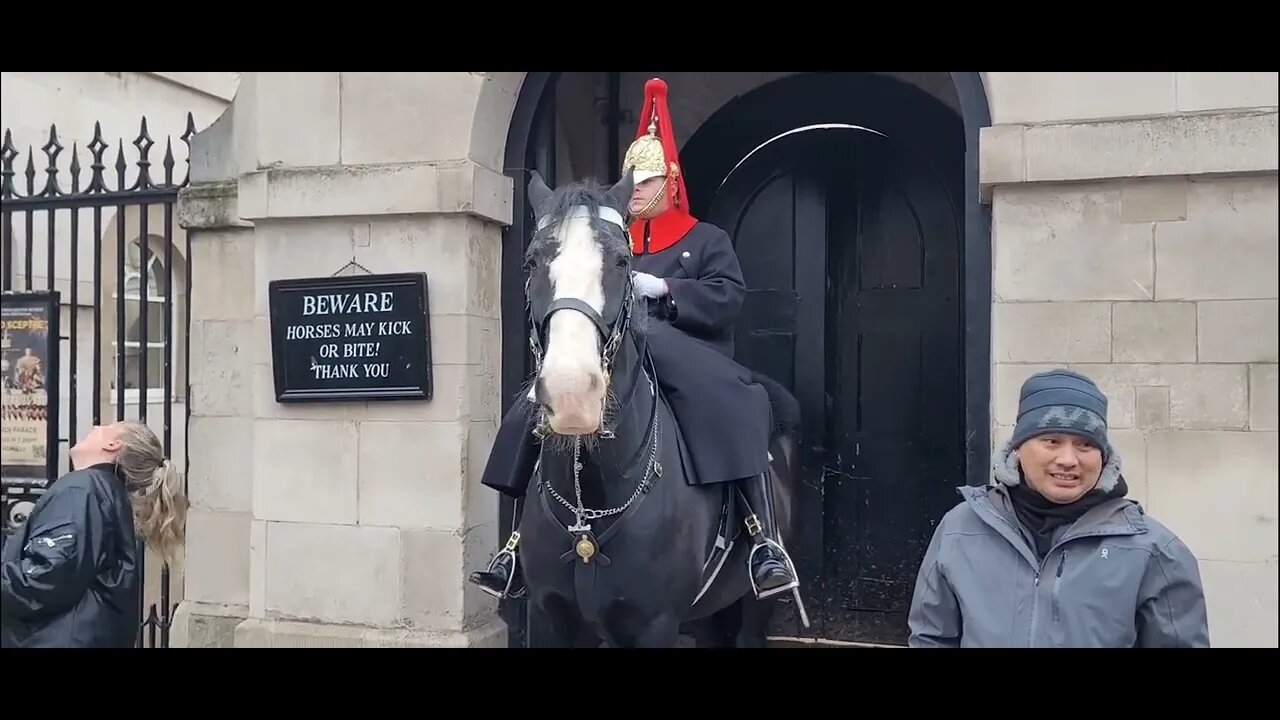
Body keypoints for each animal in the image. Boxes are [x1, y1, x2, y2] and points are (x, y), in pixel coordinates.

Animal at [514, 169, 803, 645]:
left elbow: (723, 289)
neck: (589, 511)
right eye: (532, 262)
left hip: (752, 608)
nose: (572, 394)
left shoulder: (655, 622)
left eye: (621, 262)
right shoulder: (548, 615)